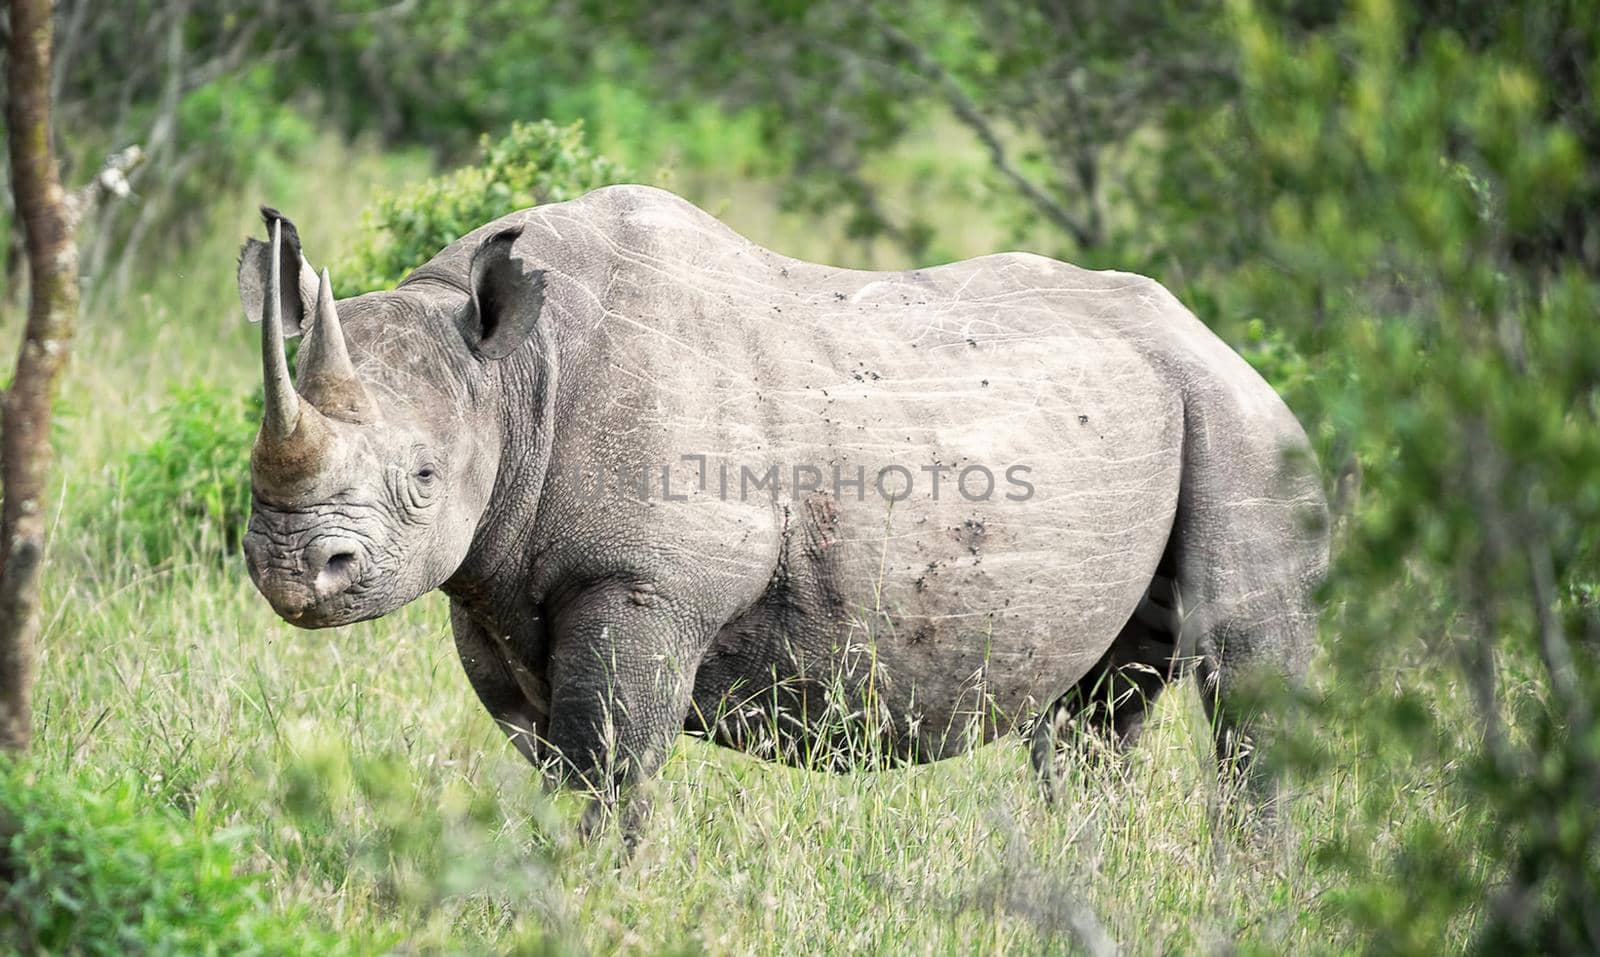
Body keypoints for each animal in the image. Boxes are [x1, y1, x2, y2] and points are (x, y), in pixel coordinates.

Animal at [236, 184, 1331, 838]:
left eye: (423, 478)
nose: (293, 569)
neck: (512, 376)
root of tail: (1219, 338)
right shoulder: (490, 583)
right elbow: (550, 759)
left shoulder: (646, 584)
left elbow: (607, 764)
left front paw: (595, 893)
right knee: (1097, 711)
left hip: (1240, 425)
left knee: (1243, 675)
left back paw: (1249, 881)